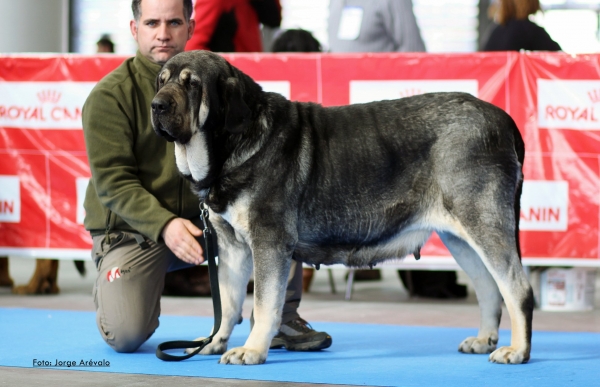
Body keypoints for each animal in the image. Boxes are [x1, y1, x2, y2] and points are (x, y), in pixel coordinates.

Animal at [151, 50, 536, 366]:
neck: (231, 145)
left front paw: (252, 350)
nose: (156, 105)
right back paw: (484, 340)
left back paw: (517, 350)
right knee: (489, 288)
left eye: (192, 84)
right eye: (162, 80)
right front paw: (213, 341)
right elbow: (228, 304)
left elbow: (263, 304)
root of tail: (504, 120)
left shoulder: (269, 242)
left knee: (516, 287)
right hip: (460, 237)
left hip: (484, 223)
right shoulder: (231, 247)